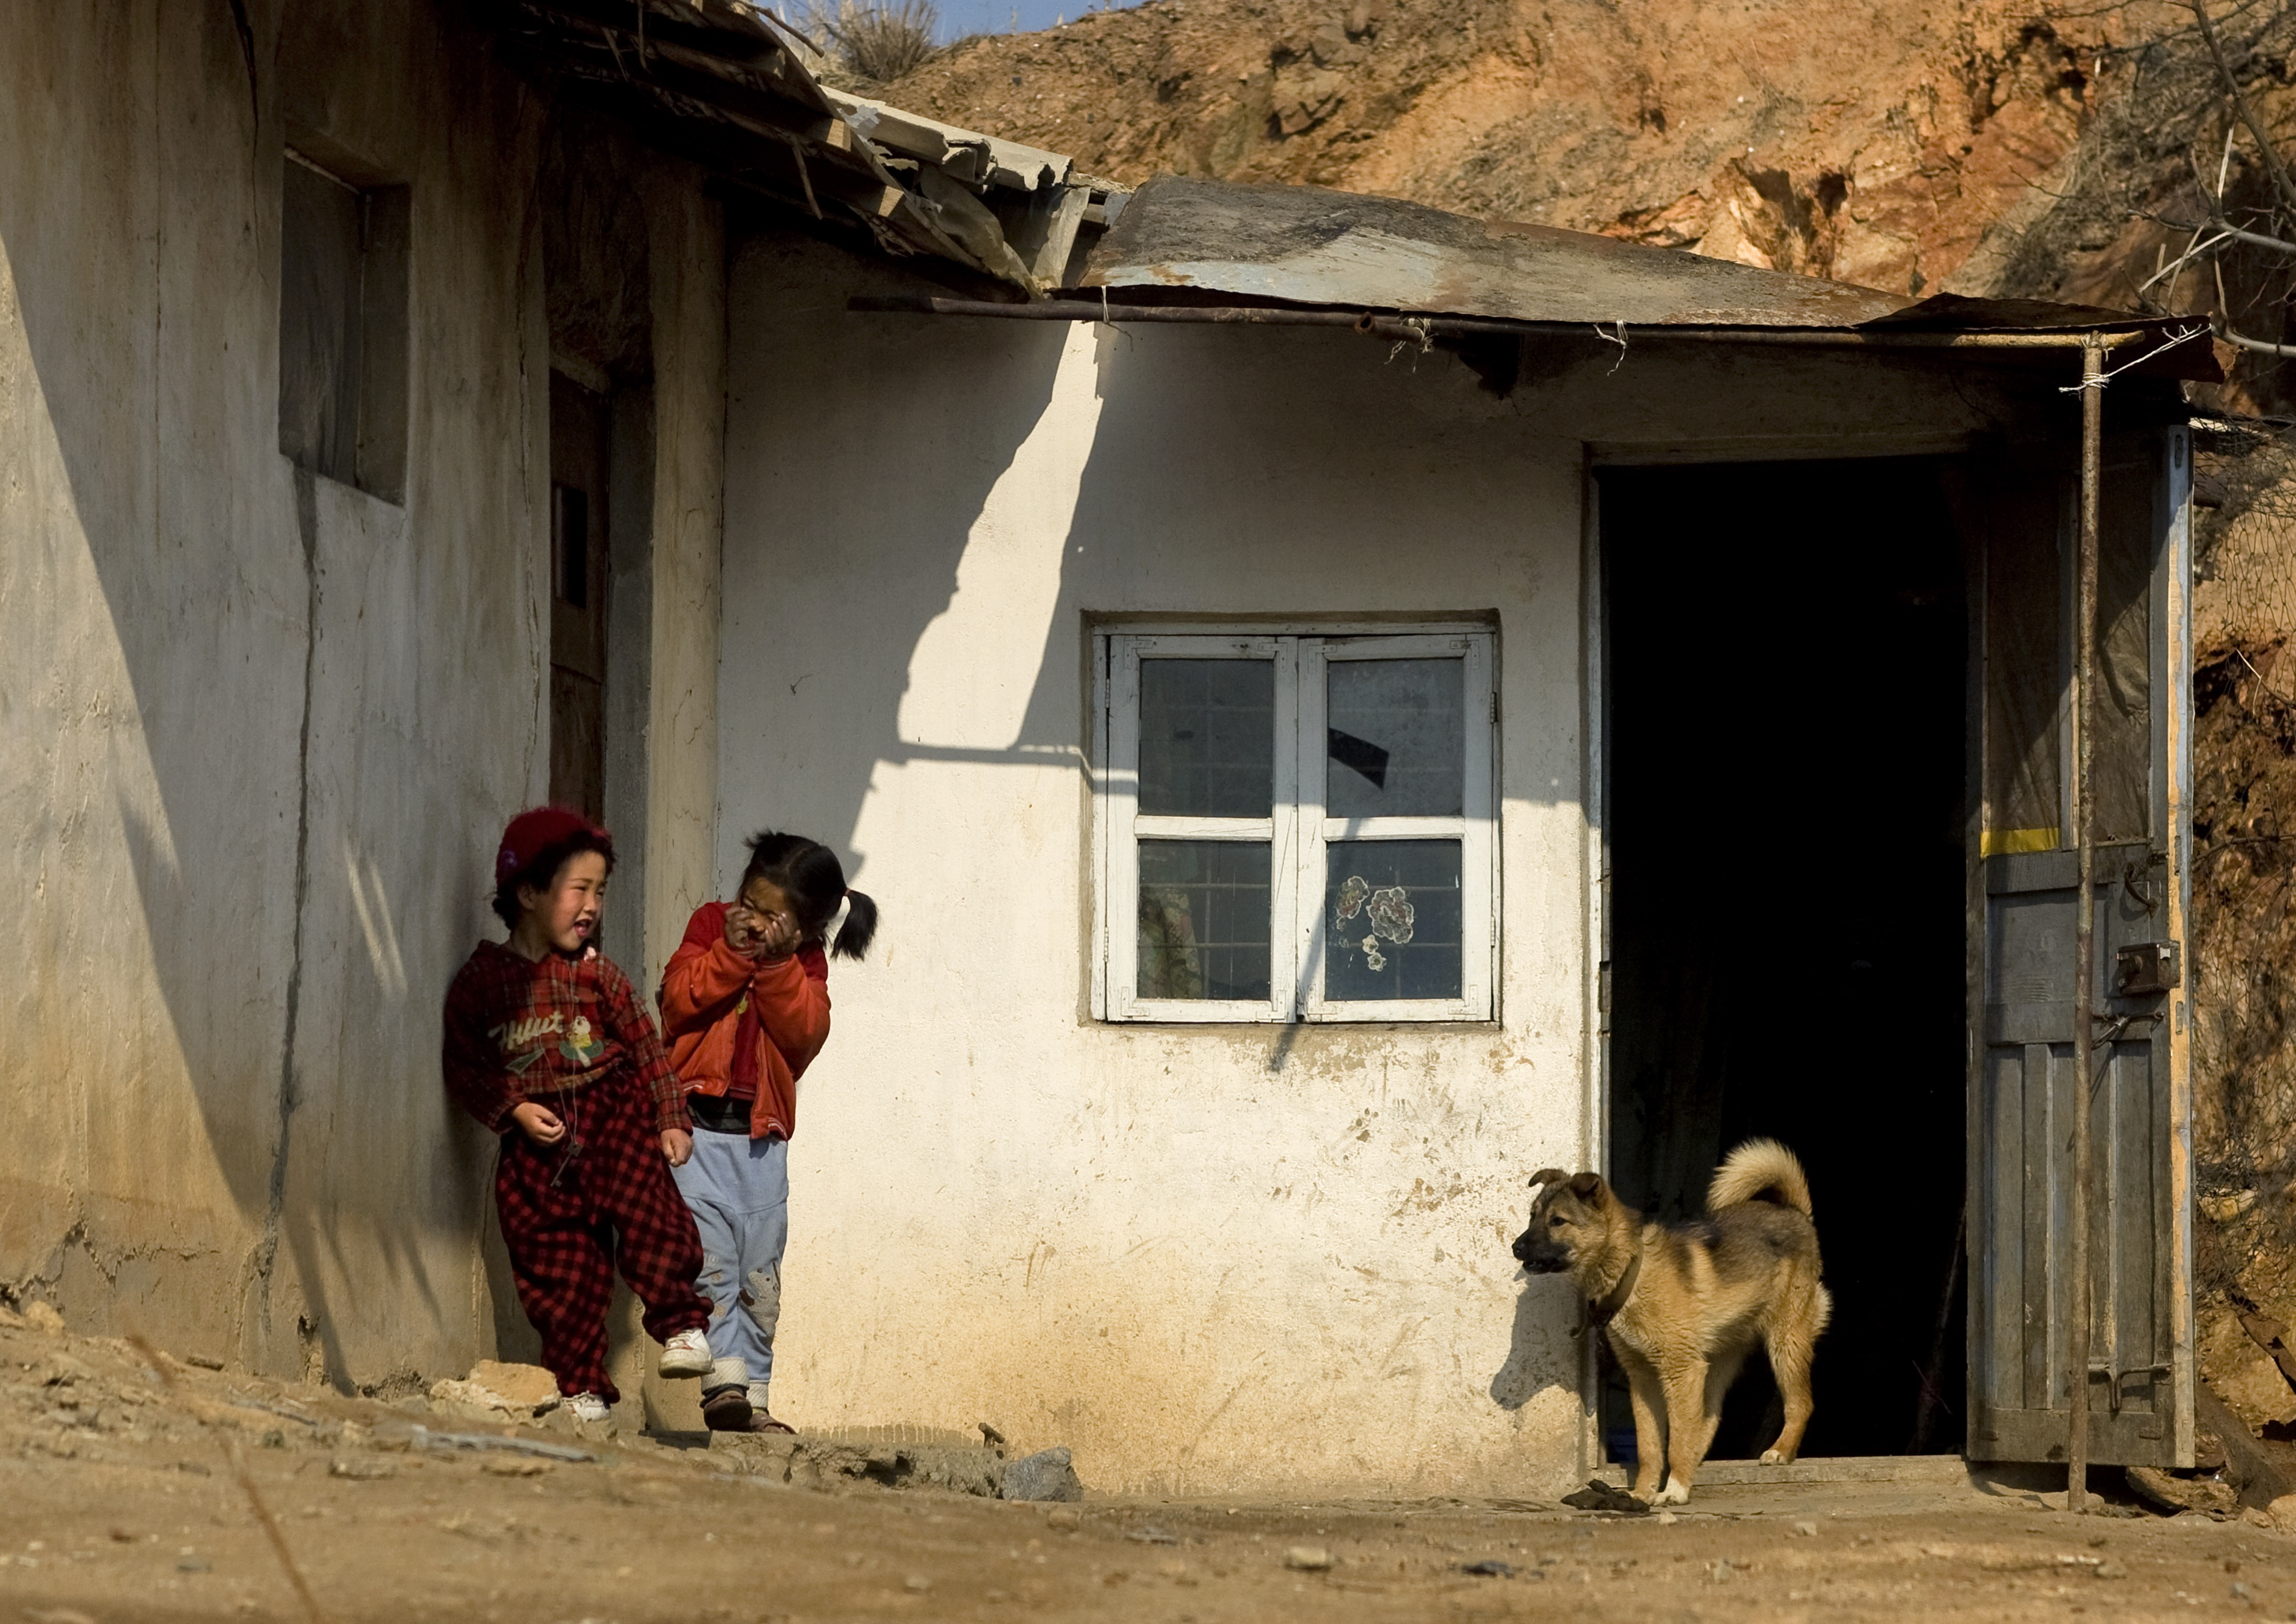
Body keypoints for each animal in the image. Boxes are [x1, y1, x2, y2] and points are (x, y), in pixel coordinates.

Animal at [1506, 1144, 1827, 1516]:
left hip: (1785, 1341)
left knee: (1800, 1404)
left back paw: (1781, 1451)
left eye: (1558, 1221)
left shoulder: (1680, 1370)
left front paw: (1674, 1491)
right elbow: (1650, 1446)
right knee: (1708, 1420)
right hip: (1717, 1360)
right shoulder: (1644, 1378)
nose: (1516, 1247)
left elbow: (1675, 1442)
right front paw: (1642, 1493)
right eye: (1533, 1216)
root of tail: (1794, 1212)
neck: (1632, 1270)